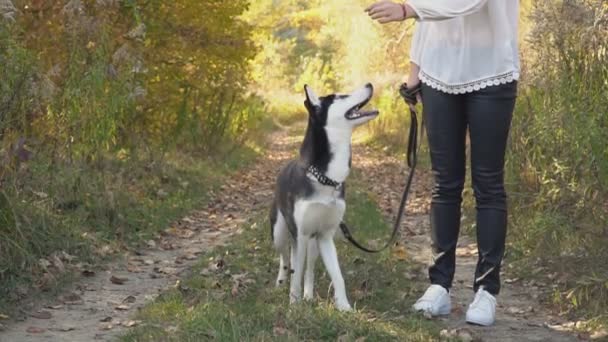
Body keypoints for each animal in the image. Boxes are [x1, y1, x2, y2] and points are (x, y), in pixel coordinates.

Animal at [270, 83, 378, 312]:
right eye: (339, 96)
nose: (370, 84)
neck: (325, 178)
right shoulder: (299, 235)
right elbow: (296, 274)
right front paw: (294, 305)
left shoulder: (326, 236)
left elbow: (337, 276)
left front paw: (344, 307)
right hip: (280, 233)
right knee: (285, 259)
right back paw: (281, 282)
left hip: (314, 242)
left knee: (309, 268)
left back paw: (309, 295)